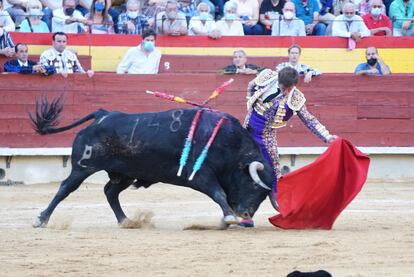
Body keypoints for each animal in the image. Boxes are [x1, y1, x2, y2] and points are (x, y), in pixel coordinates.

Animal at [30, 96, 278, 227]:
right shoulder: (201, 176)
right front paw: (229, 217)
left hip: (125, 173)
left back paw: (125, 220)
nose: (246, 216)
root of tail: (103, 114)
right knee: (65, 187)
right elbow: (219, 194)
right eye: (253, 185)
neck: (229, 144)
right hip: (83, 166)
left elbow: (222, 195)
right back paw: (41, 219)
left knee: (110, 191)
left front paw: (228, 220)